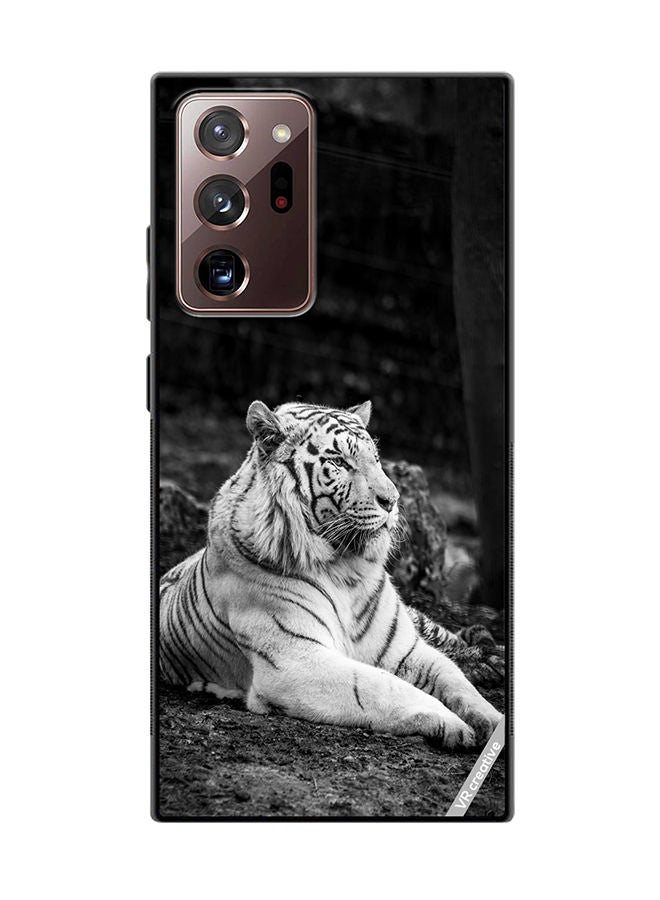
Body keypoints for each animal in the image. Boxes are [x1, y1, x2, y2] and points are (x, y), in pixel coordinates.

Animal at [159, 400, 503, 750]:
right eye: (339, 462)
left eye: (376, 459)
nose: (392, 501)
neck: (346, 569)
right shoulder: (296, 660)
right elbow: (382, 685)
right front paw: (454, 724)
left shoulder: (403, 648)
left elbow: (453, 677)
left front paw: (492, 719)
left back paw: (491, 659)